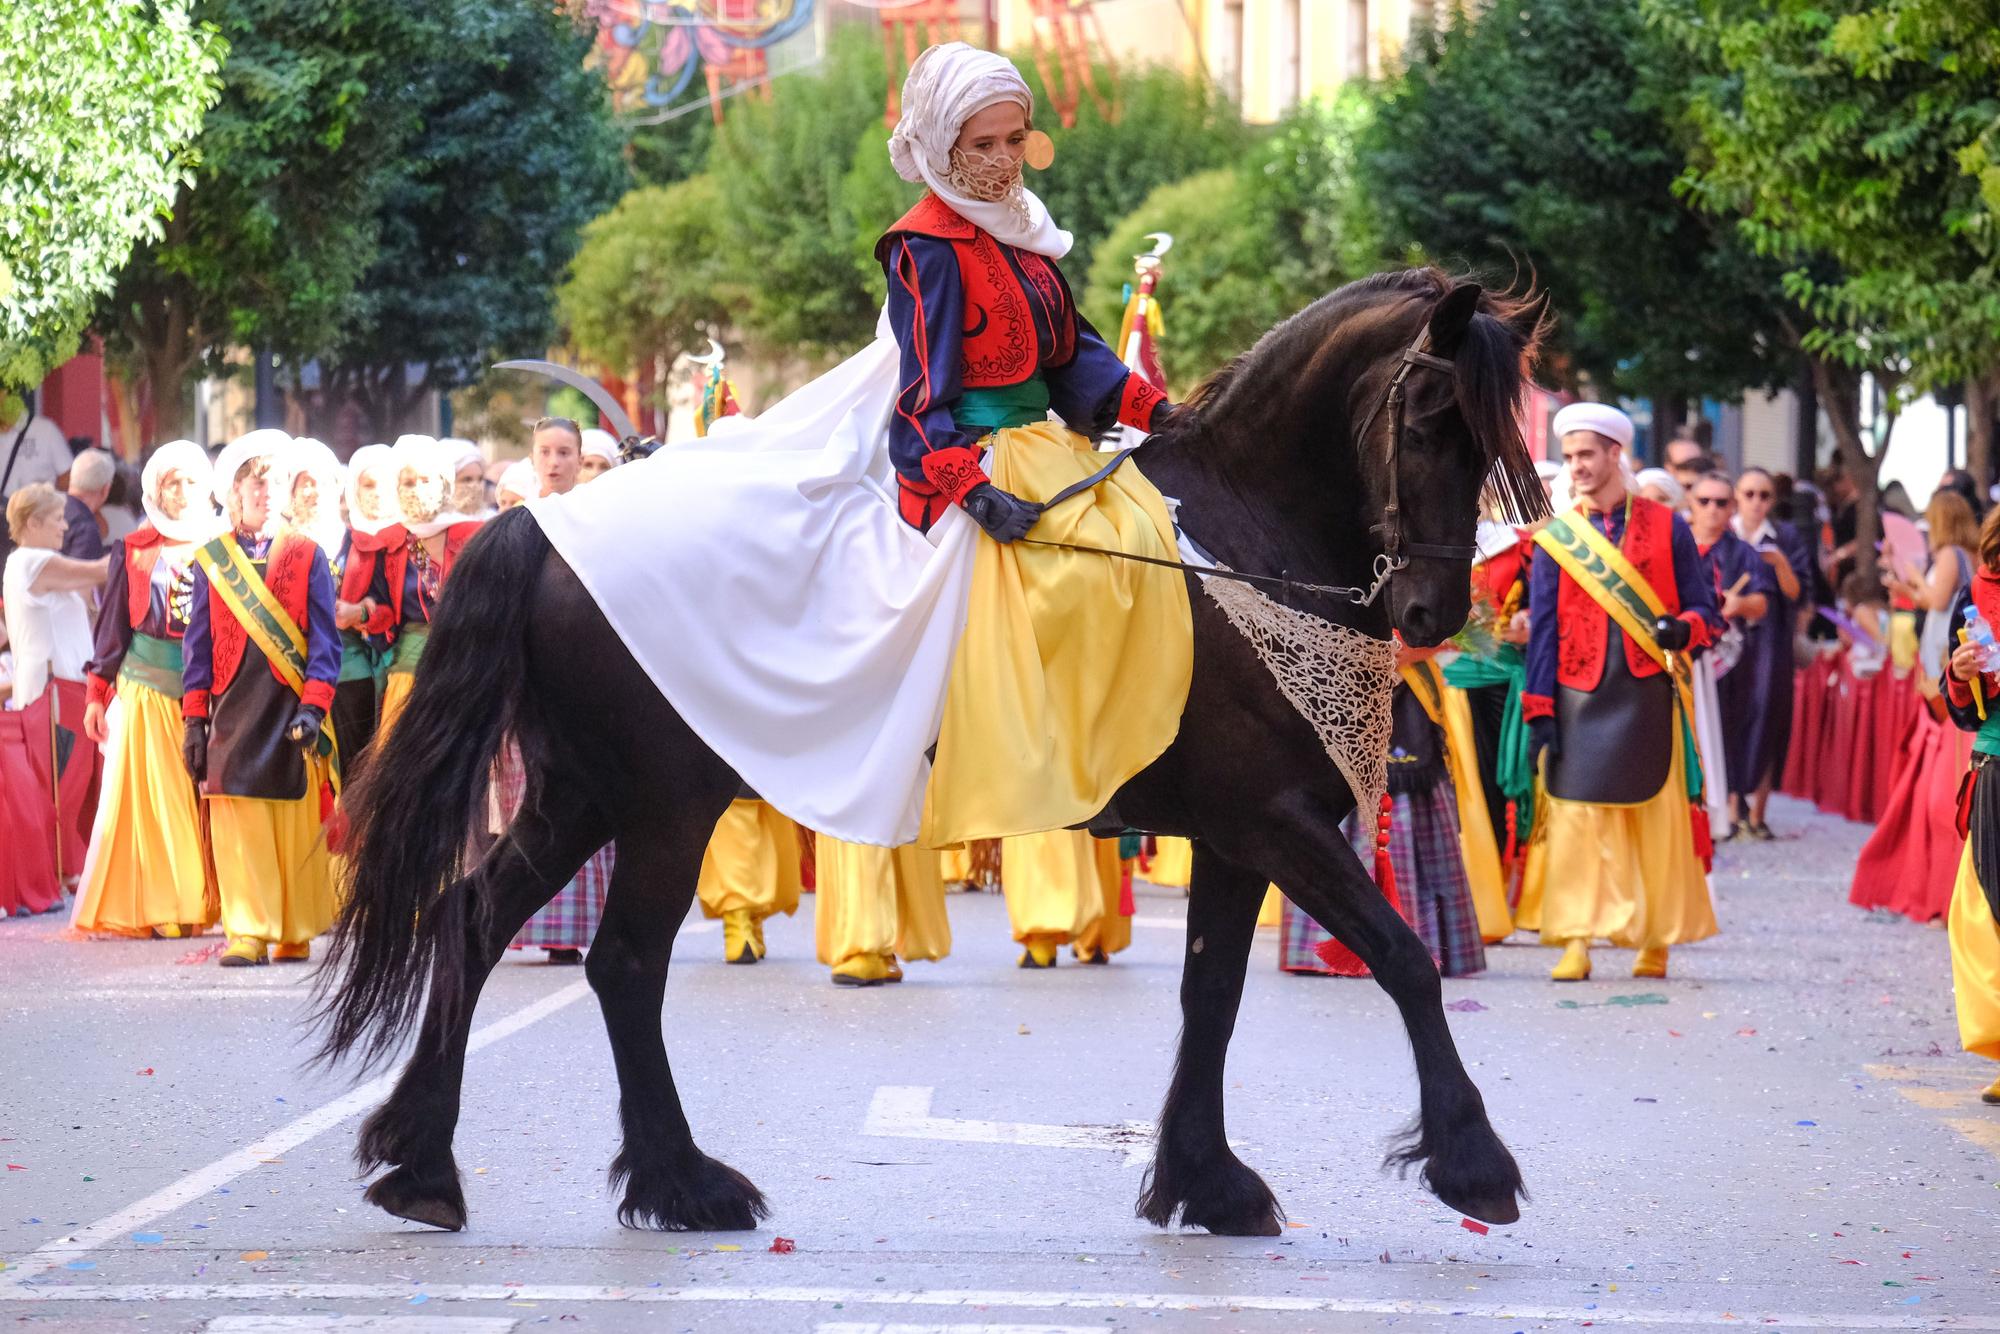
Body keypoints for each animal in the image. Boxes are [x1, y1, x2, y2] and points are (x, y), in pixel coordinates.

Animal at [320, 268, 1552, 1240]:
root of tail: (538, 524)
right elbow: (1402, 957)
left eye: (1495, 436)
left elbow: (1212, 991)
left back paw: (423, 1162)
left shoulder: (1241, 831)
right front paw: (1472, 1162)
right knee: (621, 962)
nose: (1435, 609)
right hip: (665, 802)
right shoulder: (1277, 820)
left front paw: (1206, 1180)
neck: (1237, 538)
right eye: (1429, 414)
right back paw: (683, 1183)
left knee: (472, 918)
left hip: (579, 792)